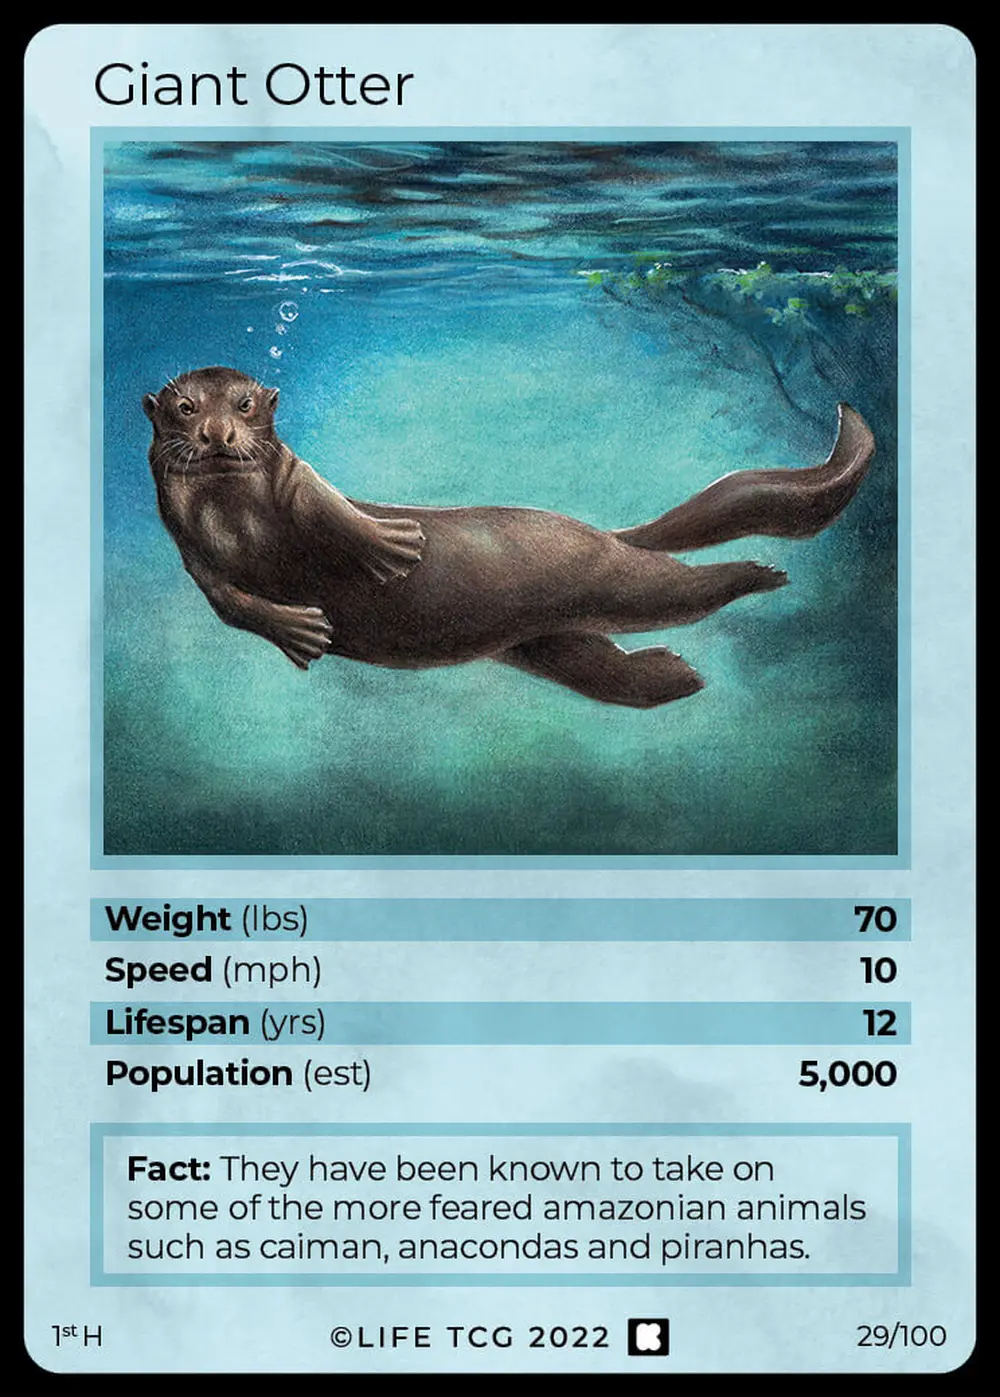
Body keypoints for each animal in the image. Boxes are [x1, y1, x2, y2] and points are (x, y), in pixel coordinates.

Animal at [144, 366, 874, 708]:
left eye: (244, 404)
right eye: (184, 407)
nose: (216, 435)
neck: (237, 520)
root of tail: (599, 531)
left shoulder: (301, 484)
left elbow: (336, 512)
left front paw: (393, 547)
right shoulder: (194, 558)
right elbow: (232, 603)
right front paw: (302, 632)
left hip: (616, 578)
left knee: (685, 585)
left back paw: (760, 574)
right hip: (542, 639)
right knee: (605, 660)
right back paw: (677, 676)